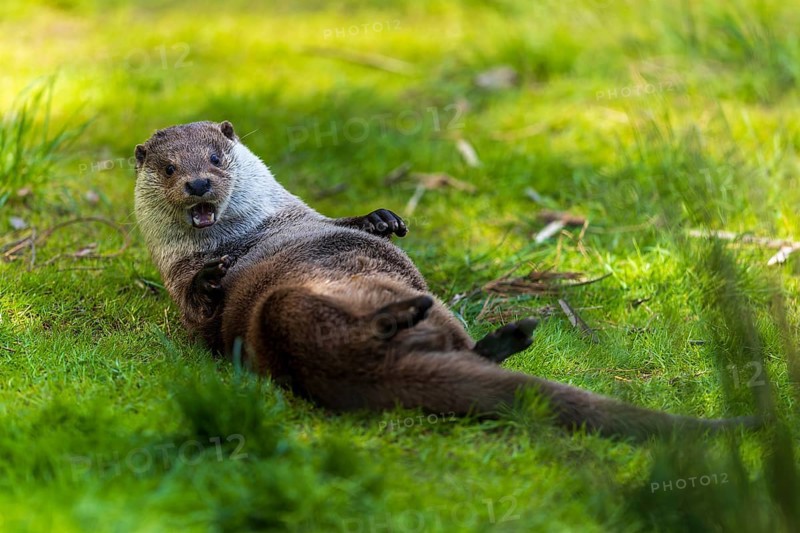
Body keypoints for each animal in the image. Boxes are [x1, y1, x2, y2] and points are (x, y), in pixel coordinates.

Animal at [134, 120, 756, 440]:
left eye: (217, 157)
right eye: (167, 167)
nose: (197, 184)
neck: (254, 232)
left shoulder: (310, 216)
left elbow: (347, 222)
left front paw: (381, 220)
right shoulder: (180, 284)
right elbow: (197, 313)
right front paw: (212, 276)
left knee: (468, 351)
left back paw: (498, 334)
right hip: (278, 316)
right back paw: (411, 317)